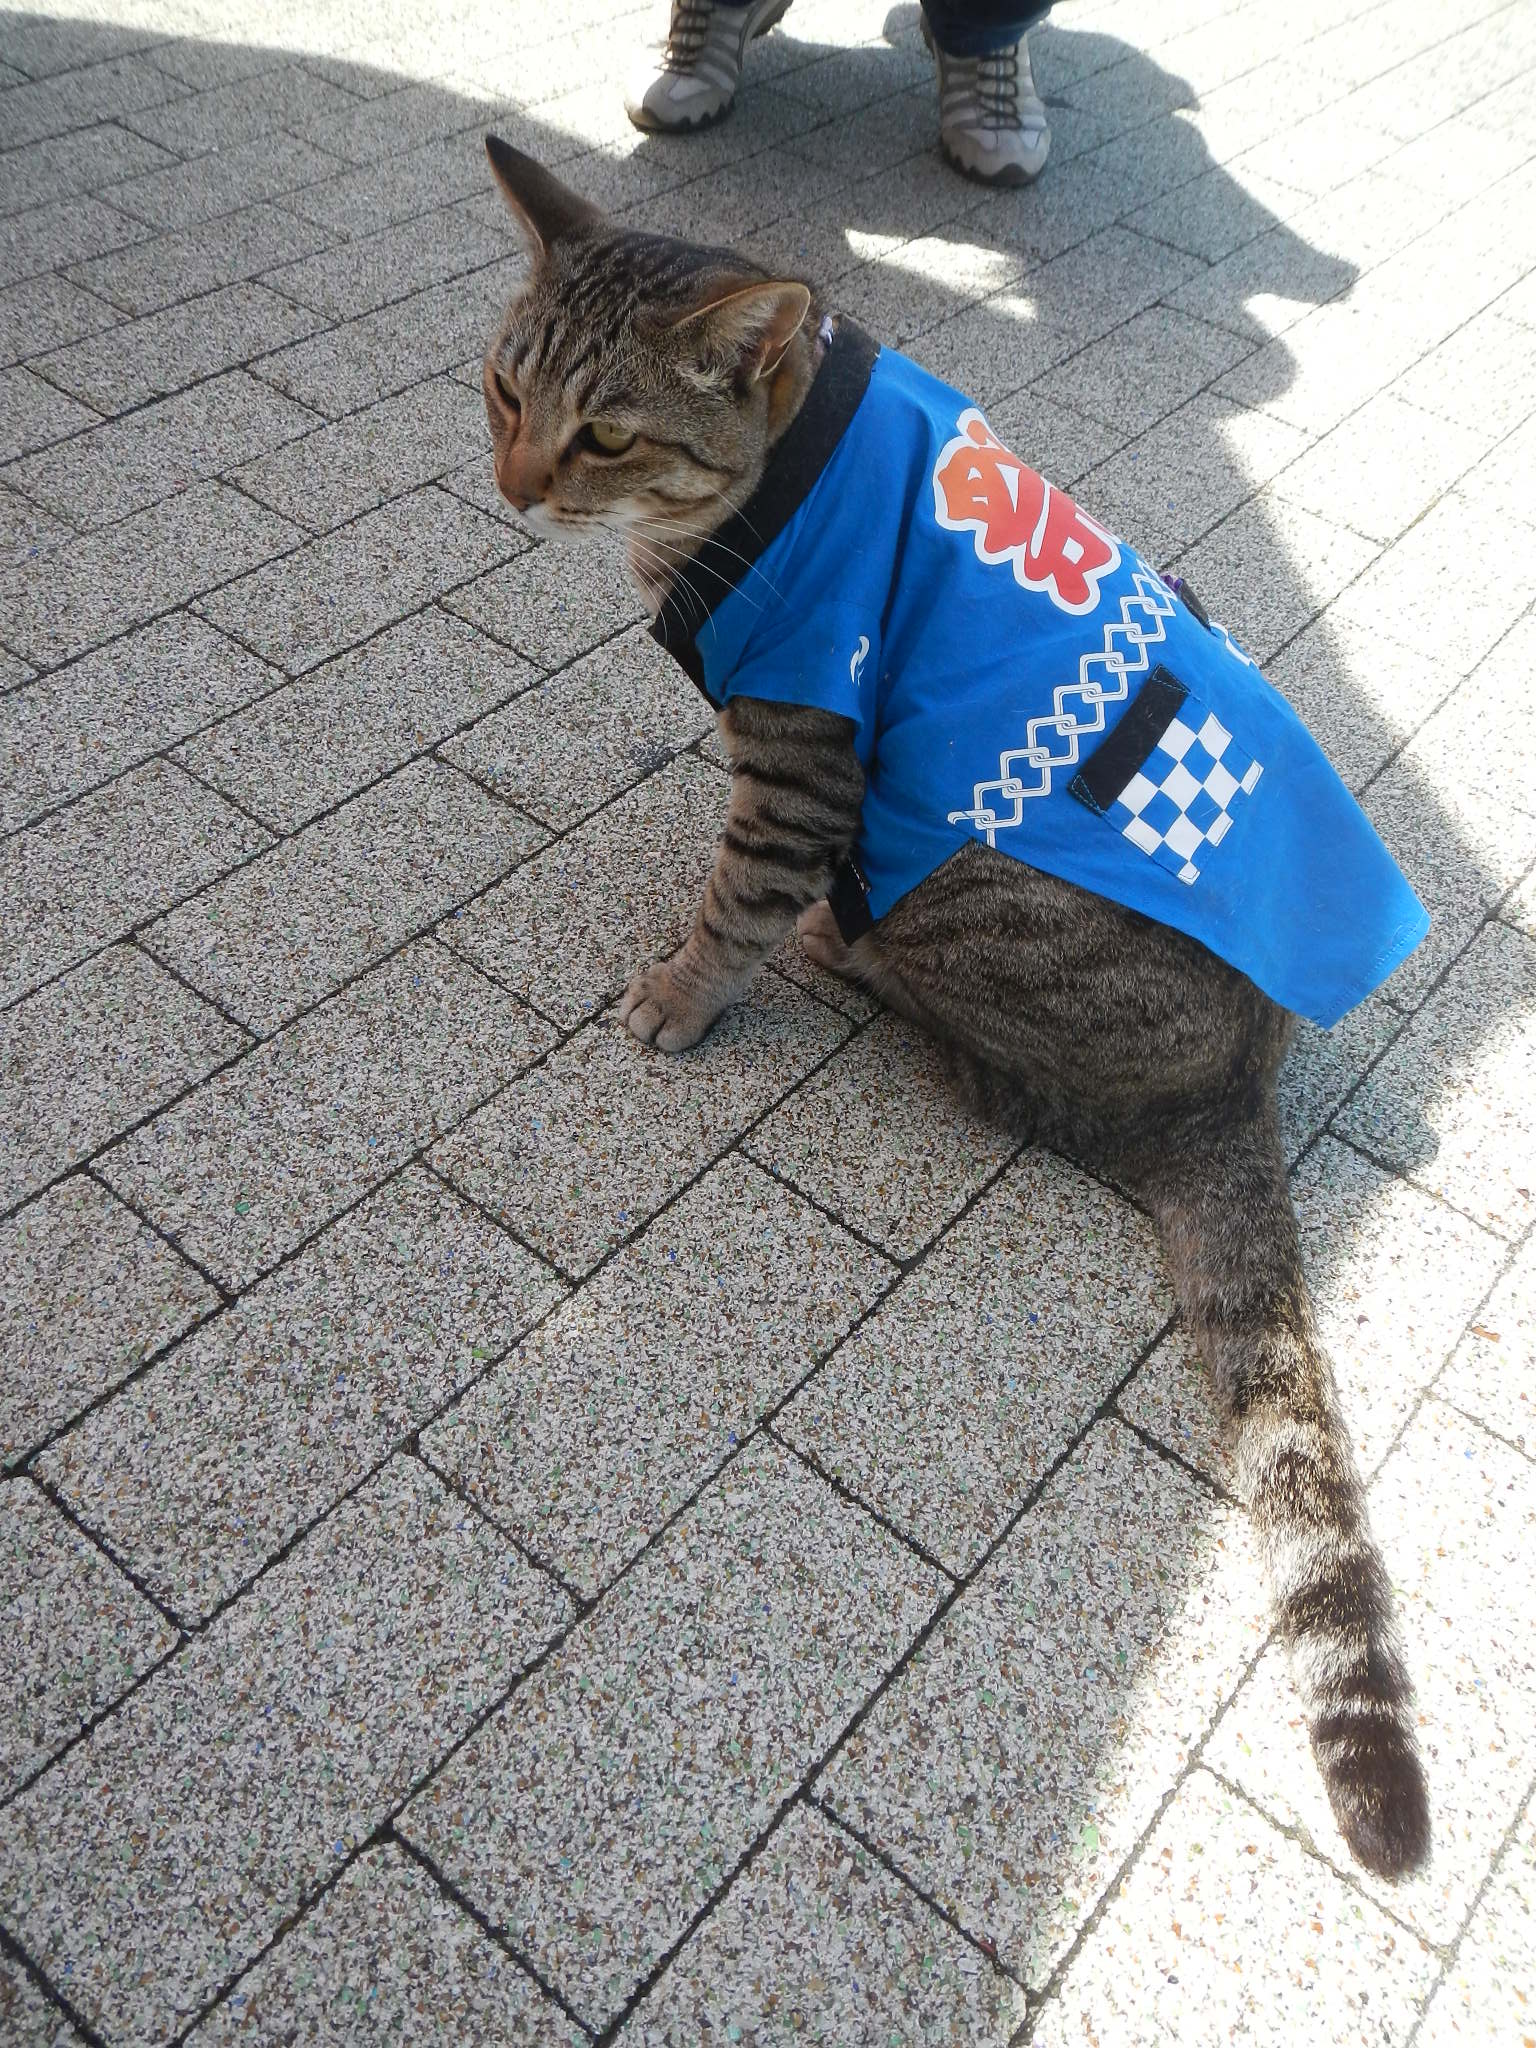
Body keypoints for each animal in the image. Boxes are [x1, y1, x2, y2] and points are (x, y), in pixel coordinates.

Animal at [479, 133, 1431, 1882]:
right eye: (505, 388)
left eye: (608, 432)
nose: (512, 489)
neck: (768, 482)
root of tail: (1237, 1084)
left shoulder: (805, 743)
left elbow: (730, 901)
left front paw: (680, 995)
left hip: (954, 880)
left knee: (1002, 1081)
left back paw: (848, 965)